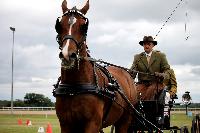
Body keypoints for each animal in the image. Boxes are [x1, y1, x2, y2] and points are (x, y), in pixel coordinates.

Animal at [53, 0, 138, 132]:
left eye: (84, 27)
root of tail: (128, 75)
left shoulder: (92, 123)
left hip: (124, 121)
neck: (74, 87)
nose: (67, 55)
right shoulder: (65, 124)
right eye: (59, 25)